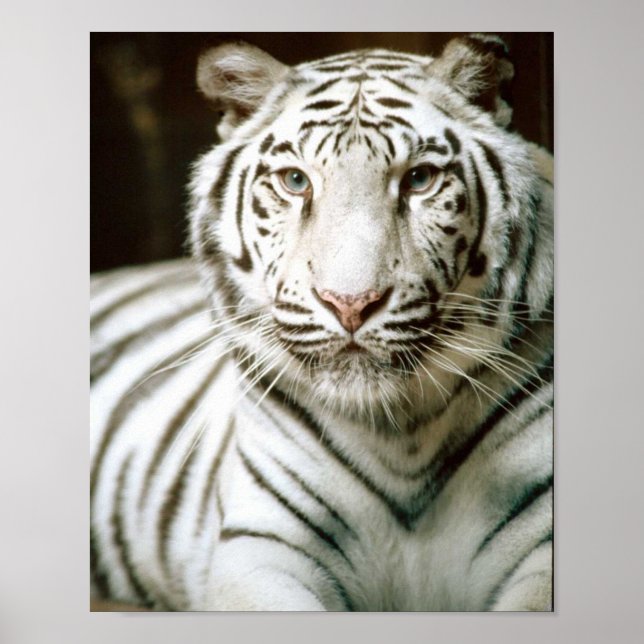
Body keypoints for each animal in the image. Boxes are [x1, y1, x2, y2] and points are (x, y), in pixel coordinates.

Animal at [90, 34, 554, 612]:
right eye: (295, 181)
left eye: (419, 179)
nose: (350, 303)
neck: (400, 440)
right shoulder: (263, 548)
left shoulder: (542, 541)